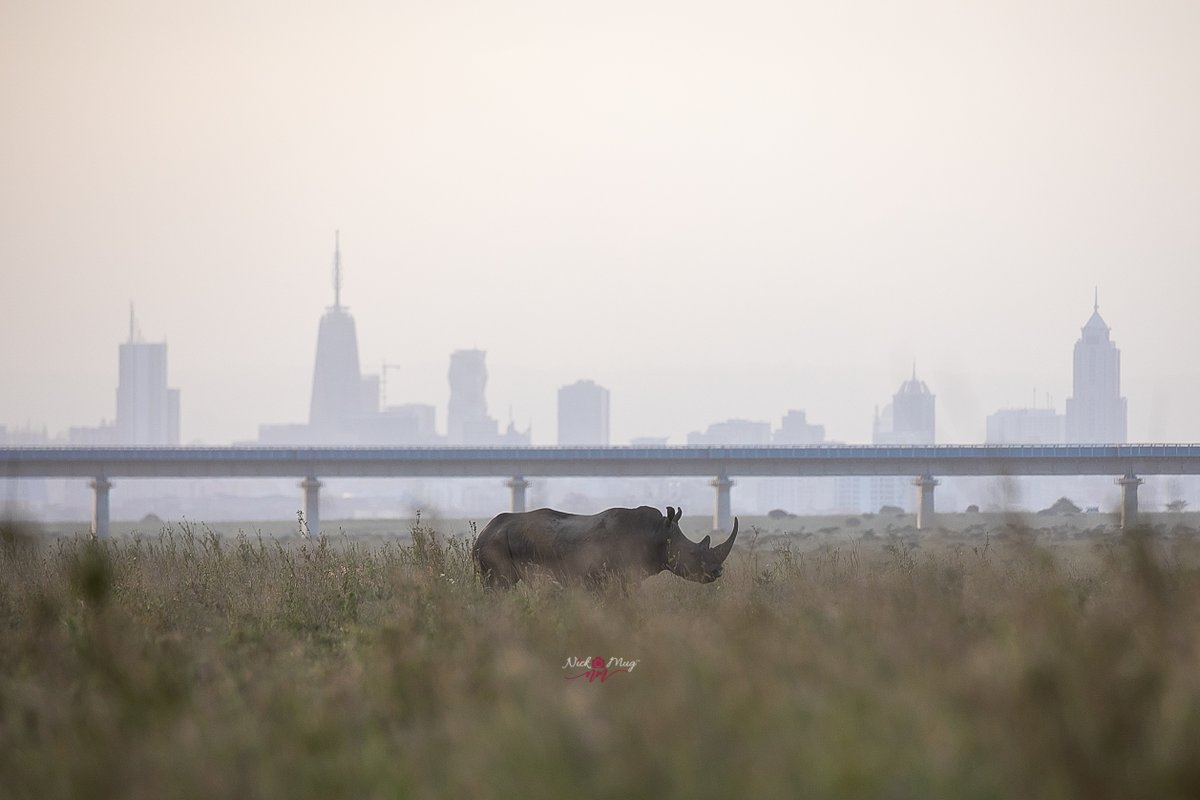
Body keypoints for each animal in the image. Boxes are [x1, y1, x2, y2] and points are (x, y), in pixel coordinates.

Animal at [473, 505, 738, 588]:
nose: (718, 572)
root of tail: (484, 530)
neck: (657, 533)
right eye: (692, 553)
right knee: (499, 586)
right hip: (495, 543)